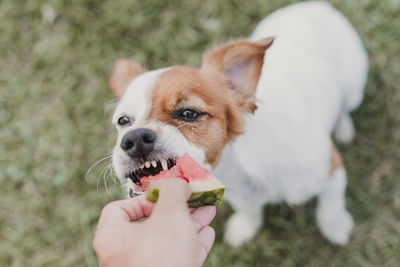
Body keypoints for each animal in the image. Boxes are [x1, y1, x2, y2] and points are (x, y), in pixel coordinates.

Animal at [108, 1, 368, 249]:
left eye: (189, 113)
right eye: (123, 121)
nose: (134, 139)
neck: (238, 168)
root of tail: (313, 6)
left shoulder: (332, 169)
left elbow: (331, 204)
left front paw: (335, 226)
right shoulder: (240, 195)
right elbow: (249, 211)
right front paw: (246, 227)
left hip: (354, 88)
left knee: (345, 107)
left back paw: (343, 127)